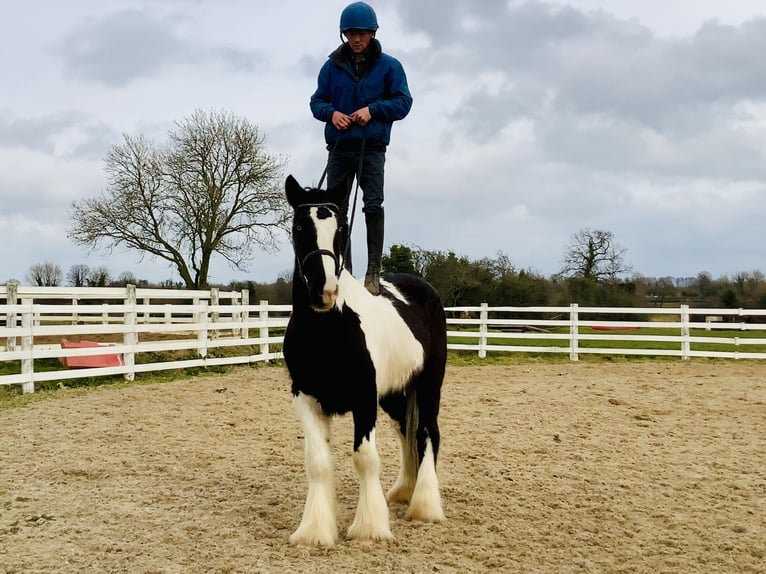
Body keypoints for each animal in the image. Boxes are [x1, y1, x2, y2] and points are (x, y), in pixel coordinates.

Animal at [284, 176, 448, 548]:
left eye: (341, 228)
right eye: (299, 226)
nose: (325, 292)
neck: (329, 330)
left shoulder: (364, 398)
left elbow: (365, 458)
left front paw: (370, 527)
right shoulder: (305, 396)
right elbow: (317, 461)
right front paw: (315, 530)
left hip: (429, 385)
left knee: (427, 433)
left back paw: (425, 505)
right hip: (395, 394)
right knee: (406, 432)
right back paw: (404, 491)